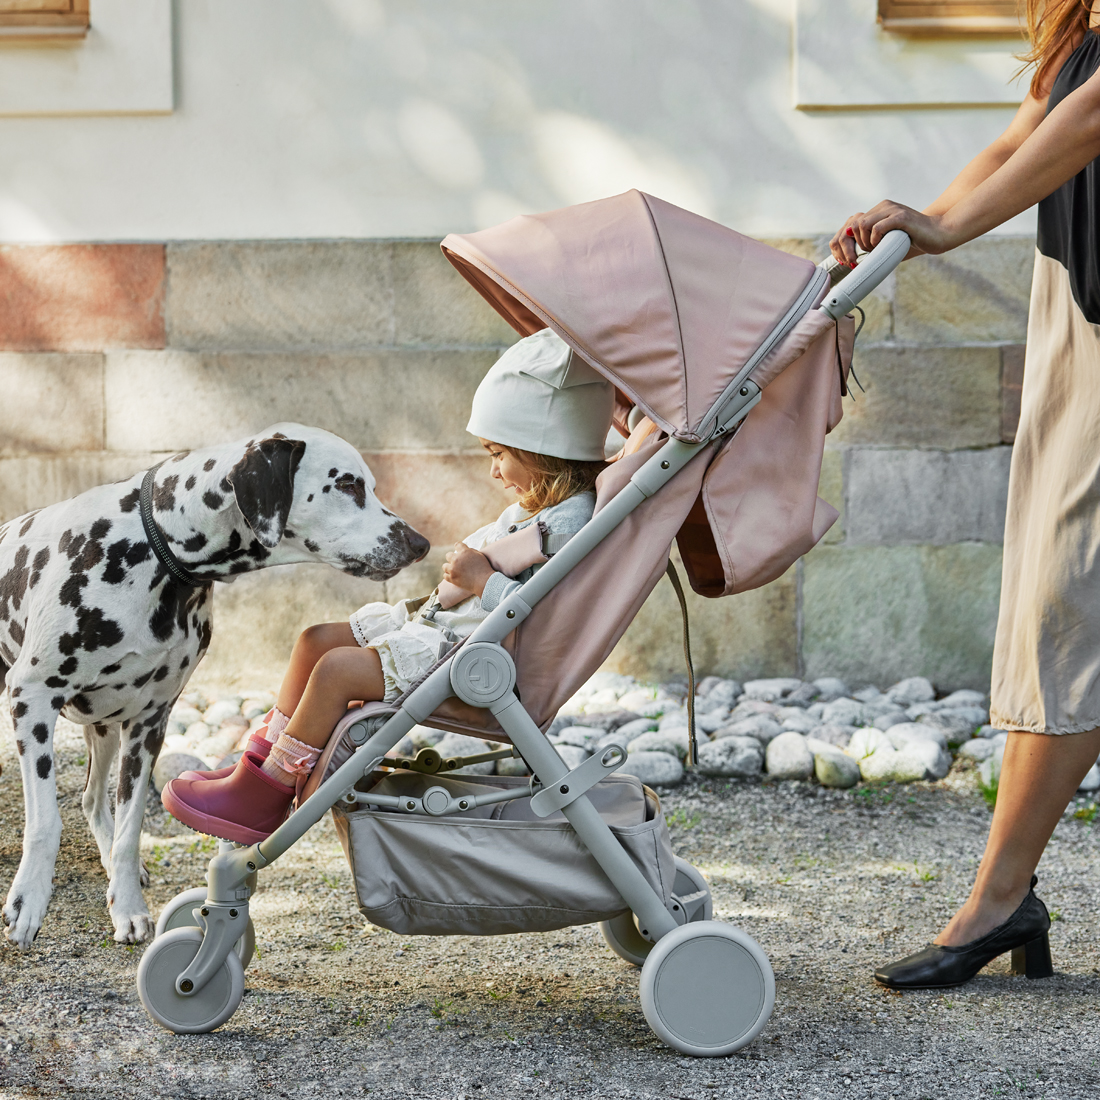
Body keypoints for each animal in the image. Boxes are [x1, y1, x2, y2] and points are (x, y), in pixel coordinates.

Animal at [0, 420, 429, 946]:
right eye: (348, 484)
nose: (420, 543)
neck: (157, 551)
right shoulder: (33, 699)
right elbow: (45, 823)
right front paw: (28, 901)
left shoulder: (149, 723)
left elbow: (128, 829)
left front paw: (127, 902)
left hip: (104, 725)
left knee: (92, 798)